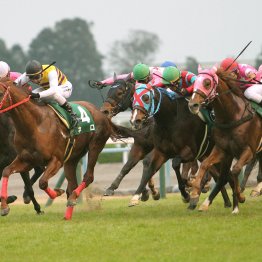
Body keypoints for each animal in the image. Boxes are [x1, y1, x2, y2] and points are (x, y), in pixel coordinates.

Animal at [0, 78, 126, 219]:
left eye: (0, 92)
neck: (35, 125)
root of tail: (100, 112)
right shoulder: (26, 159)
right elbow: (6, 171)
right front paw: (5, 207)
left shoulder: (56, 160)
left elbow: (42, 182)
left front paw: (57, 192)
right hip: (72, 157)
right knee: (72, 184)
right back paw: (68, 213)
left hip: (95, 146)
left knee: (88, 177)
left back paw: (72, 199)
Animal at [187, 65, 260, 213]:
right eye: (194, 82)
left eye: (207, 83)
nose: (193, 105)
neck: (232, 117)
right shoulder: (223, 150)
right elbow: (206, 165)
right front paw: (195, 192)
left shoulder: (249, 150)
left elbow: (236, 170)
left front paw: (240, 196)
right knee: (222, 176)